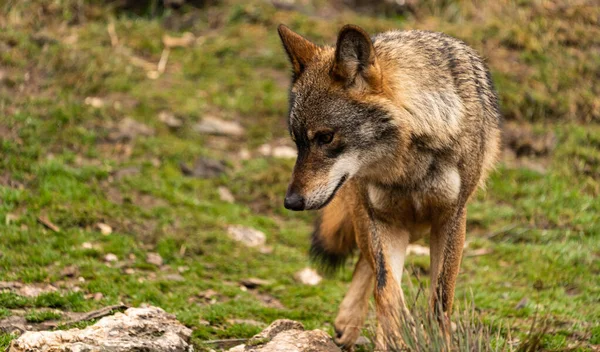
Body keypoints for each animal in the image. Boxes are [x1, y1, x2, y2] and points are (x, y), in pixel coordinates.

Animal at [278, 23, 502, 348]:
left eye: (326, 137)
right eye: (298, 142)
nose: (291, 202)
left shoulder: (452, 217)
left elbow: (440, 298)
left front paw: (438, 341)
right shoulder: (383, 219)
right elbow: (386, 290)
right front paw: (398, 333)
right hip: (365, 215)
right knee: (369, 266)